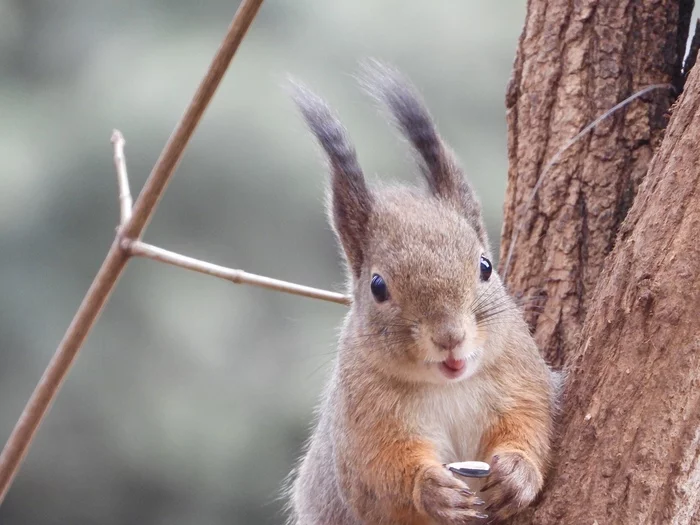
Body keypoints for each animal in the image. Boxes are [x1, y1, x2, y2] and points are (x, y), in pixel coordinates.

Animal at [282, 62, 560, 524]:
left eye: (485, 266)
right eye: (377, 286)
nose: (450, 337)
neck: (448, 386)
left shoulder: (522, 379)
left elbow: (532, 425)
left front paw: (517, 471)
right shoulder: (364, 424)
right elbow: (381, 477)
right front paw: (430, 489)